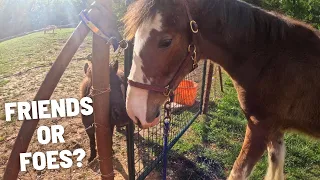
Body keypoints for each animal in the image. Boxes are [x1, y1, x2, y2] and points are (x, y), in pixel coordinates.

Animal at [123, 0, 320, 179]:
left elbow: (238, 172)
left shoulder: (260, 127)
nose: (134, 111)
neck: (268, 60)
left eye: (166, 41)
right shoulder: (276, 131)